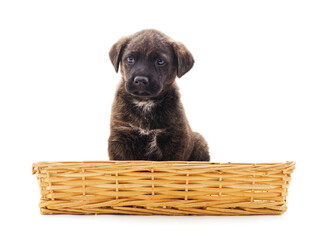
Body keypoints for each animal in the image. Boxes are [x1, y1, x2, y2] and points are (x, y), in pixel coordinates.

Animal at [108, 30, 209, 161]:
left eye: (160, 61)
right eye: (130, 59)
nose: (140, 80)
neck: (145, 103)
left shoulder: (175, 138)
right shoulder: (120, 135)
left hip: (200, 142)